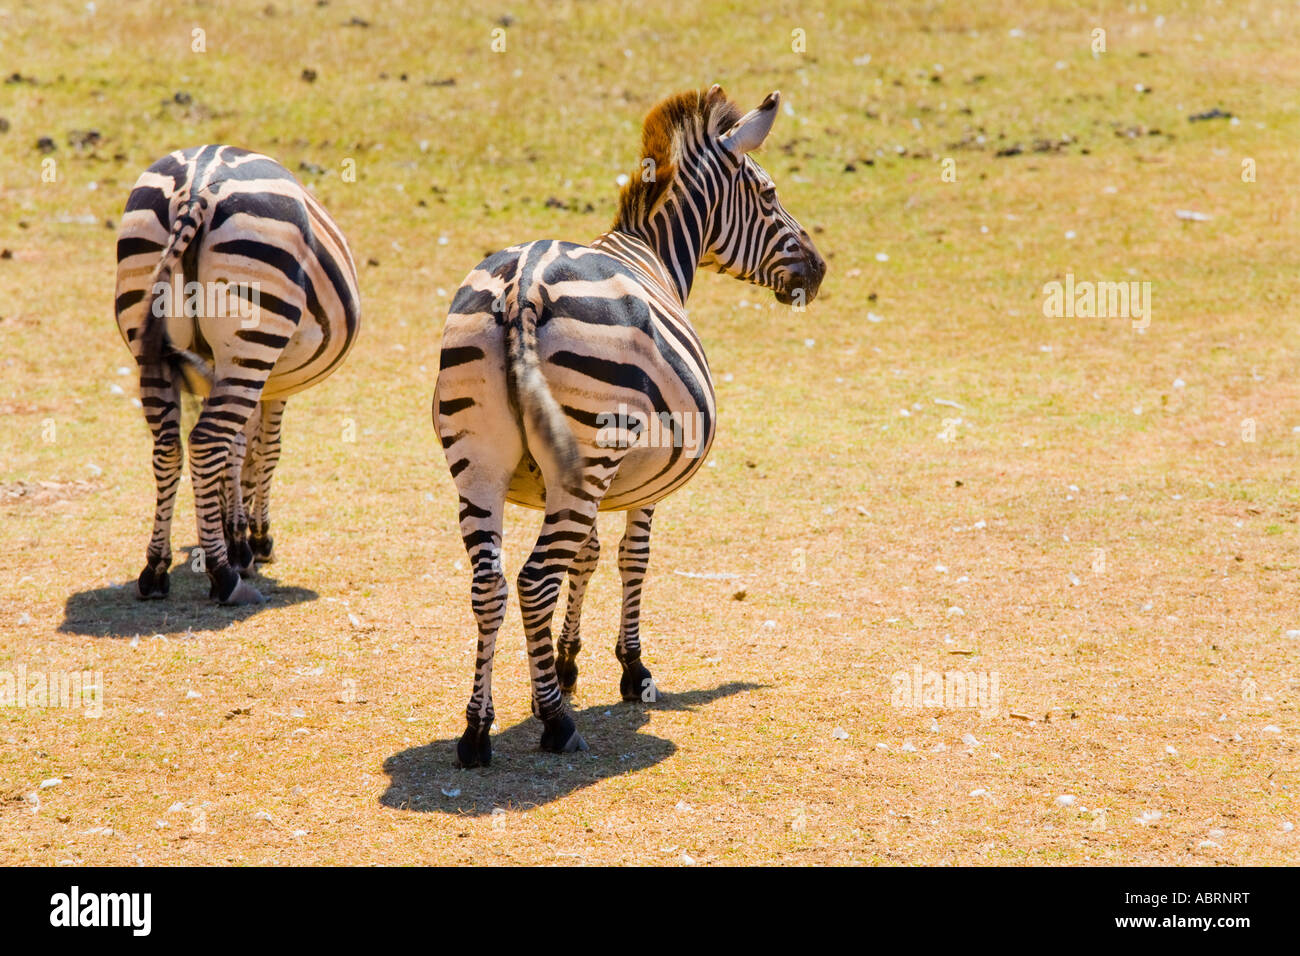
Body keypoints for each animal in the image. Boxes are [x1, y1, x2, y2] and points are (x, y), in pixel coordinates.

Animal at [115, 141, 361, 606]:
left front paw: (236, 534)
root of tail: (196, 187)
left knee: (169, 447)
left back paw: (155, 568)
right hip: (253, 340)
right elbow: (264, 449)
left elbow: (238, 448)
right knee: (206, 443)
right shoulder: (273, 383)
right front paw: (254, 539)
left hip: (149, 340)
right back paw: (224, 575)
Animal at [436, 85, 821, 764]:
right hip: (589, 453)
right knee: (533, 580)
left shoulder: (567, 482)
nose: (821, 270)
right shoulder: (642, 483)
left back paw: (477, 731)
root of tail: (523, 287)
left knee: (490, 585)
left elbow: (585, 556)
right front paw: (629, 669)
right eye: (770, 194)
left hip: (480, 464)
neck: (652, 253)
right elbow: (631, 558)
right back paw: (557, 724)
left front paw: (561, 665)